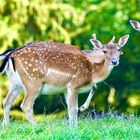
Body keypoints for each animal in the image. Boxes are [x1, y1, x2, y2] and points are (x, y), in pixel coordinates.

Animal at [0, 33, 129, 125]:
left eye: (119, 49)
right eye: (104, 51)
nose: (115, 61)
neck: (92, 72)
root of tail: (10, 55)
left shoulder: (66, 89)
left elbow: (72, 109)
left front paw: (73, 126)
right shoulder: (73, 86)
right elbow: (73, 109)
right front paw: (74, 126)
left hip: (16, 83)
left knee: (7, 102)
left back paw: (7, 126)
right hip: (33, 82)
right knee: (26, 105)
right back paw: (37, 127)